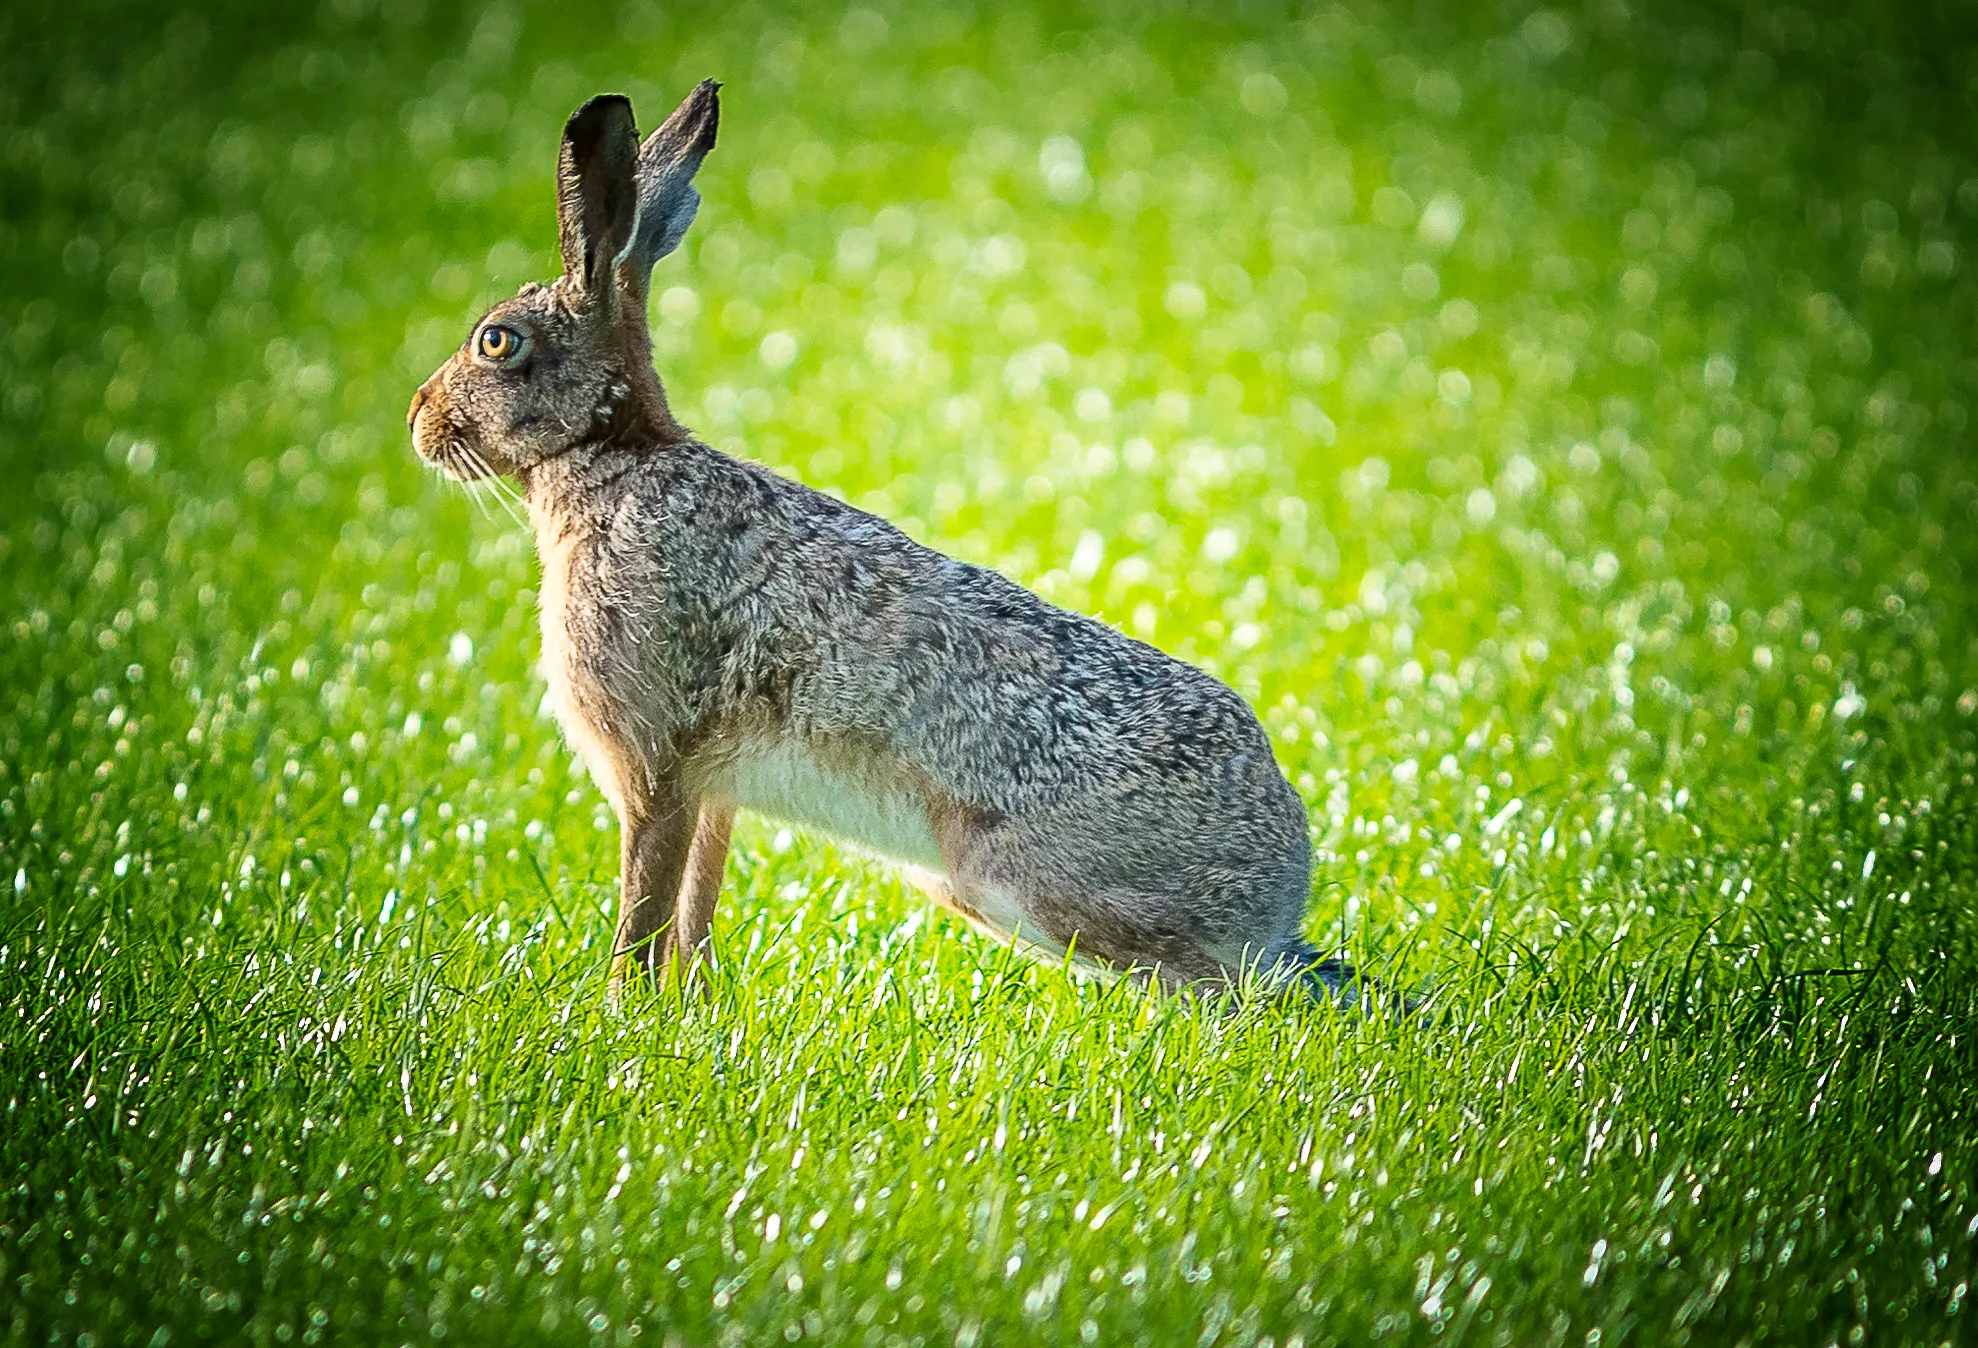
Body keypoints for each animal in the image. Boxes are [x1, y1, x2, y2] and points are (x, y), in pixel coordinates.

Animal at [407, 80, 1359, 1005]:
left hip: (1020, 883)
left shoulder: (655, 770)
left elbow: (645, 913)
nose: (419, 419)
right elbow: (693, 914)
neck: (611, 450)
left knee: (1236, 995)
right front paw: (688, 1013)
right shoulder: (712, 794)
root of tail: (1280, 882)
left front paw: (618, 1015)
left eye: (497, 342)